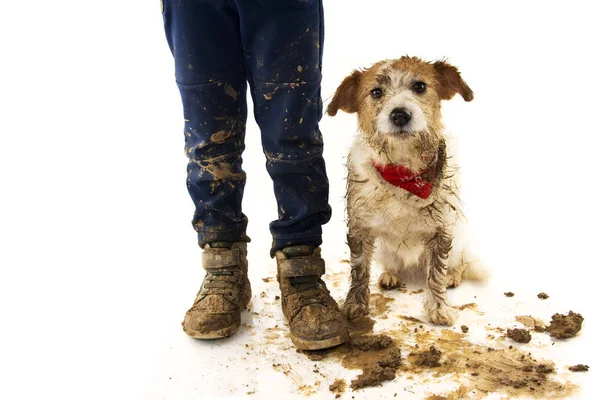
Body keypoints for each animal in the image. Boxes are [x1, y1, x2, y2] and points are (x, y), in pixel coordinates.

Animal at [328, 55, 488, 324]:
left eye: (420, 86)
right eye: (376, 92)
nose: (400, 115)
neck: (403, 168)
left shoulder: (441, 231)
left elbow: (436, 273)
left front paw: (439, 308)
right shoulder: (361, 229)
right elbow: (359, 269)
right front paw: (355, 305)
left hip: (458, 240)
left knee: (459, 263)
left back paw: (453, 275)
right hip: (384, 251)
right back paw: (390, 274)